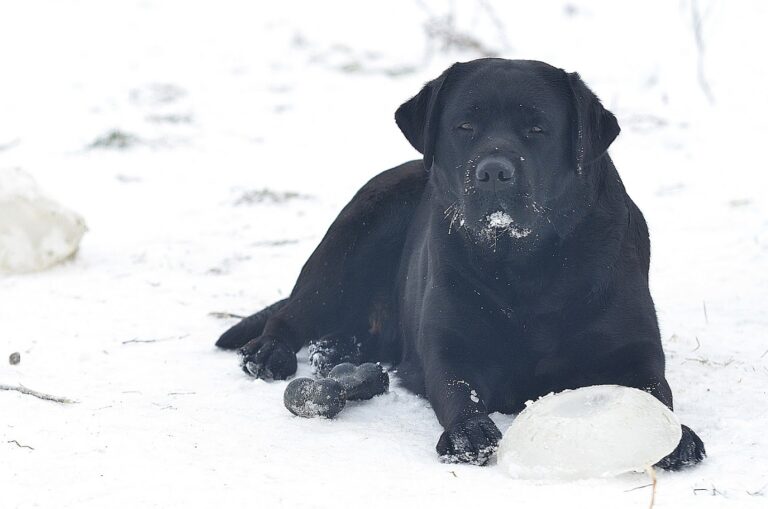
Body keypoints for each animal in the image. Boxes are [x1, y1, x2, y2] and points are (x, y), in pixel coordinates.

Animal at [216, 58, 706, 468]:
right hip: (351, 241)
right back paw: (271, 352)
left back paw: (338, 350)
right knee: (294, 311)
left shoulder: (633, 348)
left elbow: (655, 391)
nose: (493, 172)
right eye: (465, 125)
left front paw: (676, 438)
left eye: (538, 129)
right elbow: (456, 389)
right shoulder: (450, 344)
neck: (526, 267)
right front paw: (468, 434)